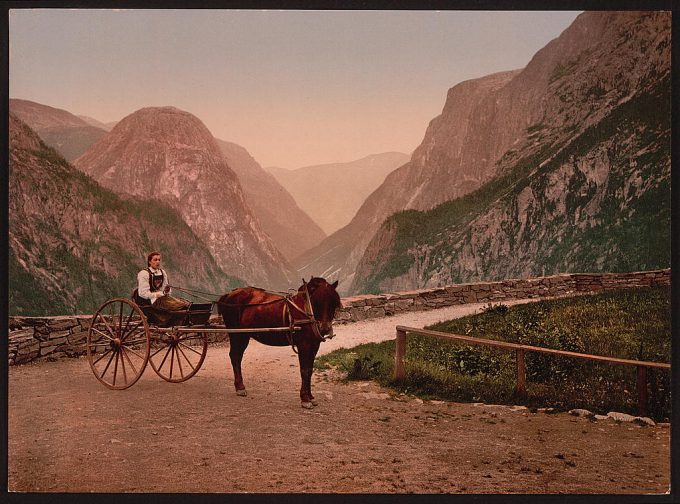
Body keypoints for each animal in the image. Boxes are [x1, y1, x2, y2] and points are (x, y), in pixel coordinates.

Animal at [218, 278, 342, 408]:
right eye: (317, 301)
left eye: (334, 303)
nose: (325, 328)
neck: (305, 310)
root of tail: (228, 295)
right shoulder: (304, 345)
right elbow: (304, 370)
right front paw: (305, 398)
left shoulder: (314, 346)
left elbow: (310, 370)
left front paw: (311, 397)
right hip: (236, 334)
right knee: (234, 356)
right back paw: (240, 387)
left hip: (243, 335)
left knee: (237, 356)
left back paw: (240, 386)